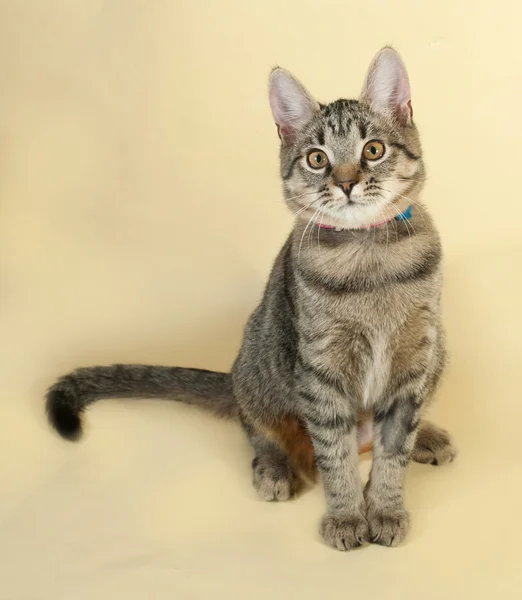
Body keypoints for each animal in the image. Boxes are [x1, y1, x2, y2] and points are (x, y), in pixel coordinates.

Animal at [47, 49, 456, 552]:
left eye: (373, 150)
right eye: (317, 159)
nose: (345, 183)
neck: (370, 260)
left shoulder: (416, 357)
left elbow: (393, 447)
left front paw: (385, 508)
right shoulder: (320, 372)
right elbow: (335, 457)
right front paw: (346, 516)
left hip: (439, 351)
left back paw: (427, 437)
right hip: (260, 363)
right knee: (257, 426)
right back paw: (275, 468)